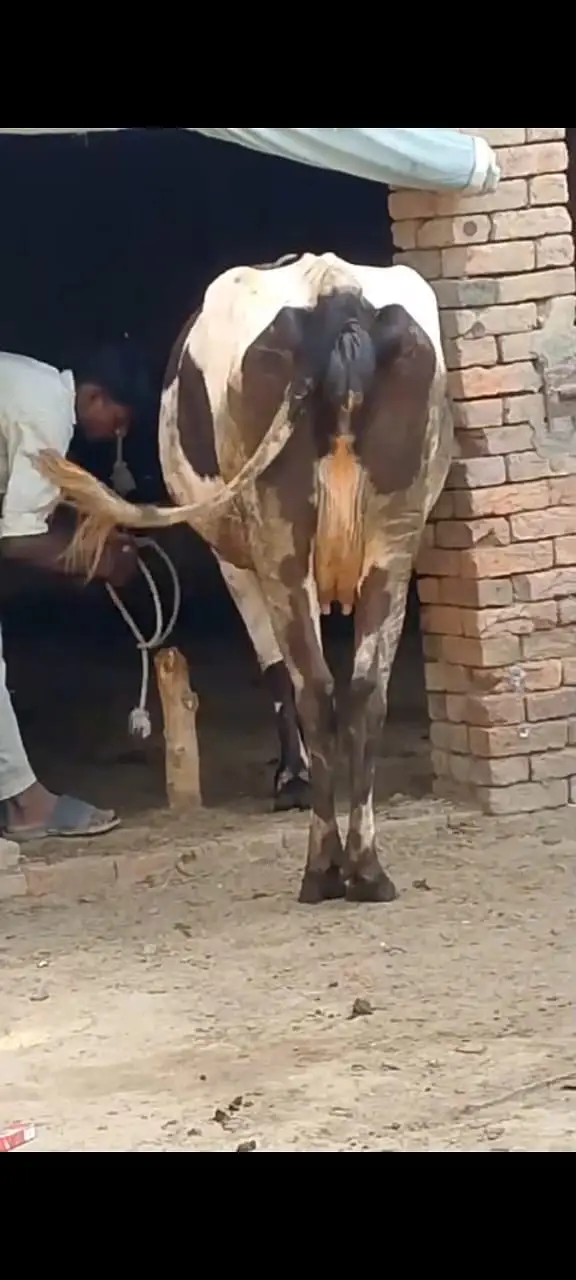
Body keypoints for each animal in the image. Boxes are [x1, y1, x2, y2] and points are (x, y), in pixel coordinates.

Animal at [33, 252, 453, 904]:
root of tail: (336, 291)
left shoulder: (236, 561)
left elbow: (276, 670)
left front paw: (292, 780)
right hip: (394, 536)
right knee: (364, 690)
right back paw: (367, 869)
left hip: (281, 543)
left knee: (315, 688)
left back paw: (322, 868)